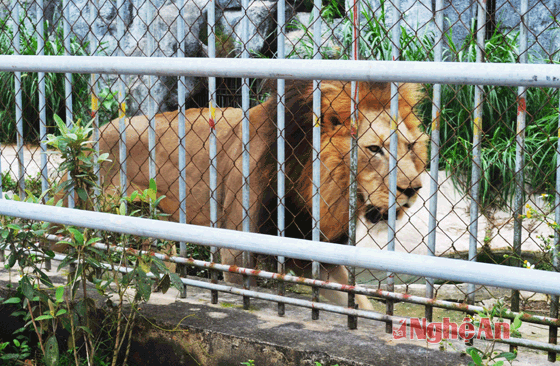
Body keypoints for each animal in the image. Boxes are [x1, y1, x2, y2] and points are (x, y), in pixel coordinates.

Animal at [98, 80, 426, 308]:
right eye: (374, 149)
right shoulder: (236, 252)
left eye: (410, 146)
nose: (413, 188)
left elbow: (358, 302)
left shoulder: (314, 252)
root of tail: (97, 130)